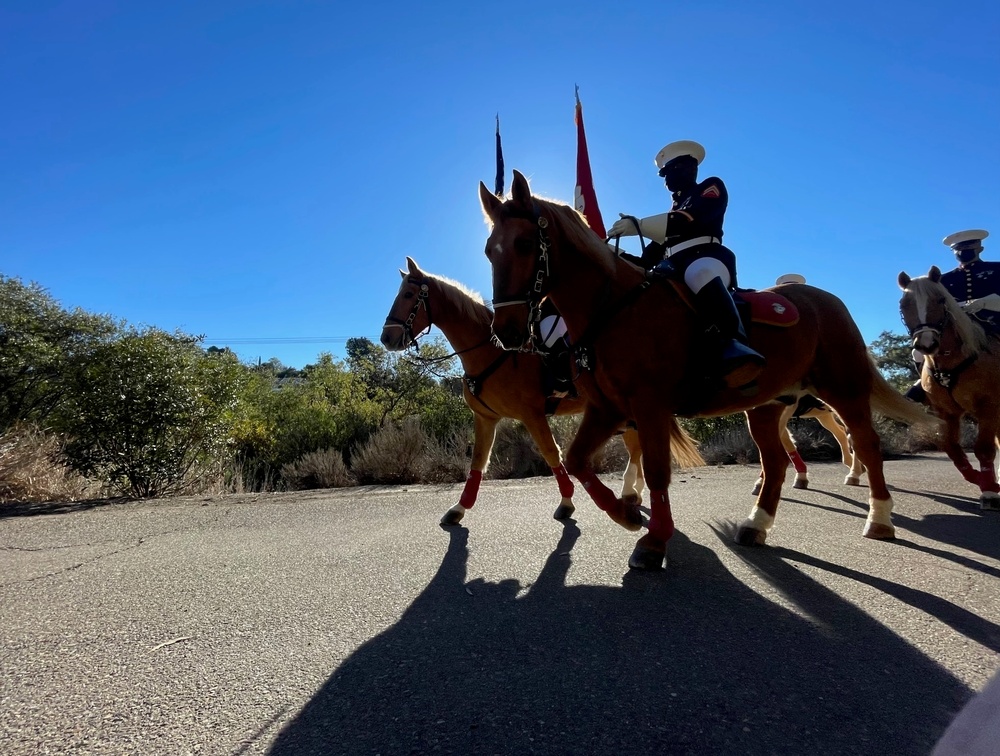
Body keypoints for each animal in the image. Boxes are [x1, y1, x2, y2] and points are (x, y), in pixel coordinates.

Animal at [380, 255, 704, 524]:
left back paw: (630, 491)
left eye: (408, 295)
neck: (492, 351)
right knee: (636, 446)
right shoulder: (485, 418)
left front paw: (567, 501)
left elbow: (551, 454)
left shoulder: (532, 415)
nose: (387, 338)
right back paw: (633, 491)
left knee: (636, 447)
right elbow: (478, 463)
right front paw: (459, 508)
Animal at [480, 171, 932, 568]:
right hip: (766, 407)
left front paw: (654, 542)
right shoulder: (607, 409)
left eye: (524, 243)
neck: (612, 308)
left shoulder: (650, 407)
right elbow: (576, 461)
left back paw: (880, 519)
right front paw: (626, 515)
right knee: (775, 462)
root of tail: (827, 300)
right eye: (489, 250)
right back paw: (756, 524)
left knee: (866, 443)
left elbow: (657, 472)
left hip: (844, 390)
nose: (506, 331)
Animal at [900, 264, 1000, 508]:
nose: (926, 344)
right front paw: (980, 479)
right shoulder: (947, 412)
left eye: (940, 300)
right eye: (904, 305)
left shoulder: (988, 407)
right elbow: (952, 448)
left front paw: (990, 491)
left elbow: (984, 449)